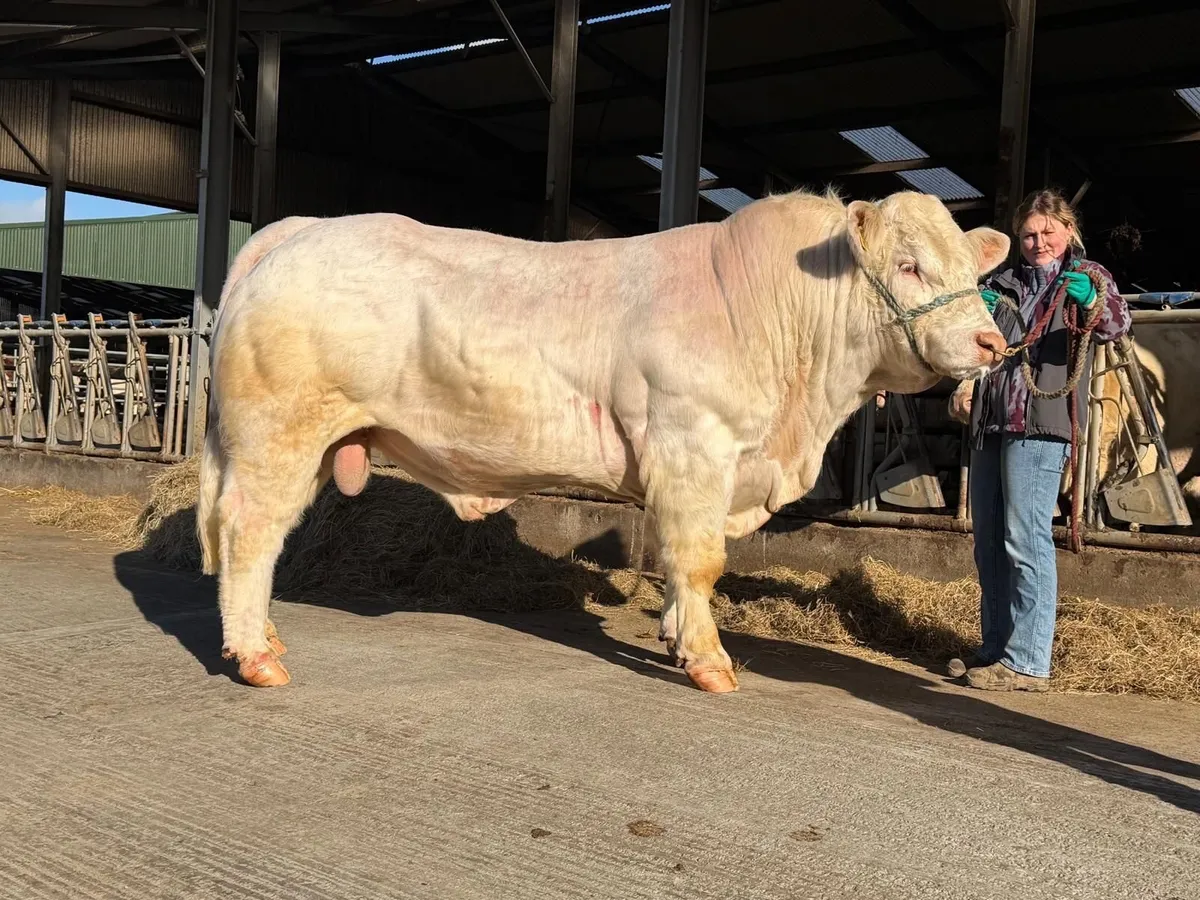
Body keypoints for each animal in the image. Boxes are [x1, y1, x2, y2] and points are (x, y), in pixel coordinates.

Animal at [198, 189, 1010, 693]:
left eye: (972, 269)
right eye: (908, 265)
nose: (992, 343)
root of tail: (298, 229)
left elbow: (680, 564)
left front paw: (677, 639)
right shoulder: (693, 445)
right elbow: (699, 559)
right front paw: (709, 662)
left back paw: (264, 637)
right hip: (279, 432)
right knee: (248, 530)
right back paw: (255, 657)